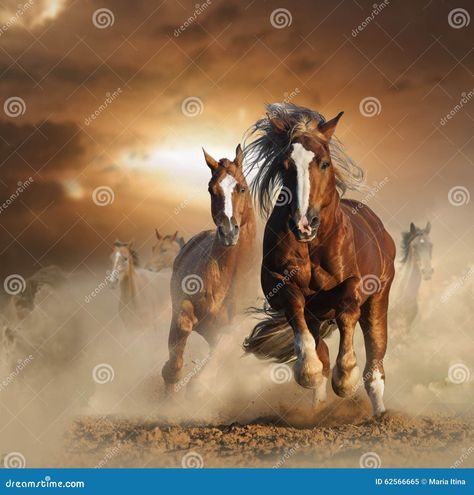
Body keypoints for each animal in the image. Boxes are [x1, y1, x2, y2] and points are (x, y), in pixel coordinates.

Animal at [163, 144, 260, 396]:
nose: (228, 232)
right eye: (211, 189)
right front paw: (171, 377)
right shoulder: (185, 307)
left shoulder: (230, 331)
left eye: (242, 187)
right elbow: (182, 326)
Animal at [244, 104, 396, 418]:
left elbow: (348, 311)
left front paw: (346, 378)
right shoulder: (281, 286)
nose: (304, 223)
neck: (313, 245)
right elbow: (298, 319)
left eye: (324, 163)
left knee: (375, 359)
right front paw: (309, 371)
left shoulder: (354, 285)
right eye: (284, 166)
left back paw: (379, 413)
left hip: (379, 300)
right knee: (321, 347)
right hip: (317, 315)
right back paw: (318, 405)